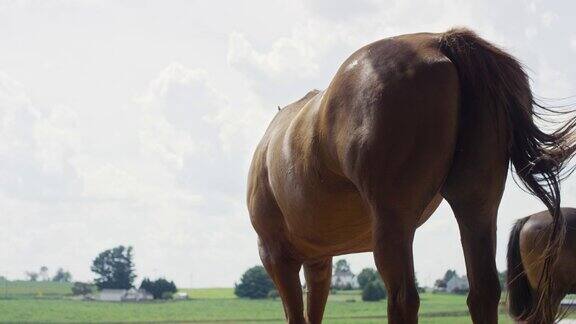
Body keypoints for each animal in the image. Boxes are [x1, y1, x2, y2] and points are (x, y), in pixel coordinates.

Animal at [248, 28, 576, 324]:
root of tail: (439, 41)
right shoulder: (318, 262)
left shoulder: (277, 256)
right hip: (477, 208)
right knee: (483, 293)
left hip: (393, 223)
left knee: (403, 299)